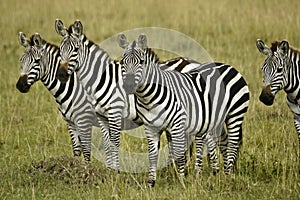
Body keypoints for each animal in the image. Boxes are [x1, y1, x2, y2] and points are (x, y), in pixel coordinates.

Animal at [15, 32, 103, 162]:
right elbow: (77, 150)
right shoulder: (70, 122)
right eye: (21, 60)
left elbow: (86, 152)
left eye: (37, 61)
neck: (73, 87)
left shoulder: (84, 121)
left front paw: (87, 168)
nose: (20, 85)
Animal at [118, 34, 250, 186]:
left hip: (232, 114)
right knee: (219, 140)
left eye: (141, 62)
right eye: (122, 62)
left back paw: (224, 175)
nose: (128, 86)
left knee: (229, 142)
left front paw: (181, 180)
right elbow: (152, 154)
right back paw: (219, 171)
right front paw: (151, 182)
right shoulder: (150, 126)